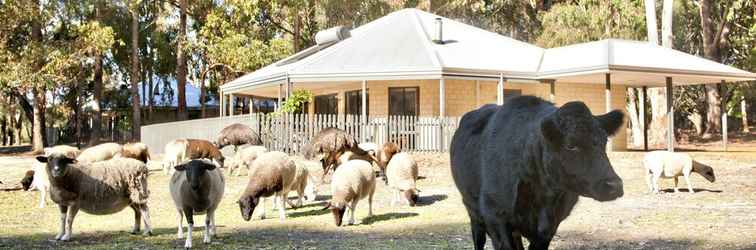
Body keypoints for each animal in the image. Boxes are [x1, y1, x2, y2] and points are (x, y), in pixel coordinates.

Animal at [452, 94, 624, 249]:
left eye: (604, 141)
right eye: (570, 145)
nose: (614, 185)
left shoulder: (549, 227)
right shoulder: (494, 214)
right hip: (471, 207)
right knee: (478, 237)